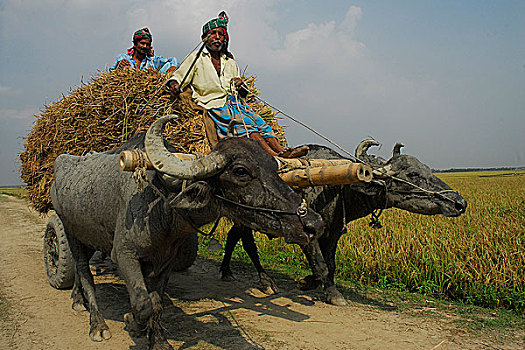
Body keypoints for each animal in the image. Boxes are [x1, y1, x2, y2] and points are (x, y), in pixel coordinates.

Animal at [52, 115, 324, 348]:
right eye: (241, 171)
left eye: (273, 167)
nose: (314, 224)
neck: (162, 205)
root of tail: (61, 163)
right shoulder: (123, 255)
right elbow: (142, 304)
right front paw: (131, 322)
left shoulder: (166, 261)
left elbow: (156, 303)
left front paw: (158, 341)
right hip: (69, 230)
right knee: (84, 272)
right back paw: (96, 323)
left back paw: (78, 299)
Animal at [219, 139, 464, 304]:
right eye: (412, 174)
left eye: (427, 169)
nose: (459, 203)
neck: (335, 188)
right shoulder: (307, 234)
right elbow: (320, 265)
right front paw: (326, 290)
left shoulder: (333, 233)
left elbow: (330, 265)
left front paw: (313, 283)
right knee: (248, 244)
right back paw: (265, 281)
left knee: (233, 237)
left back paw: (227, 271)